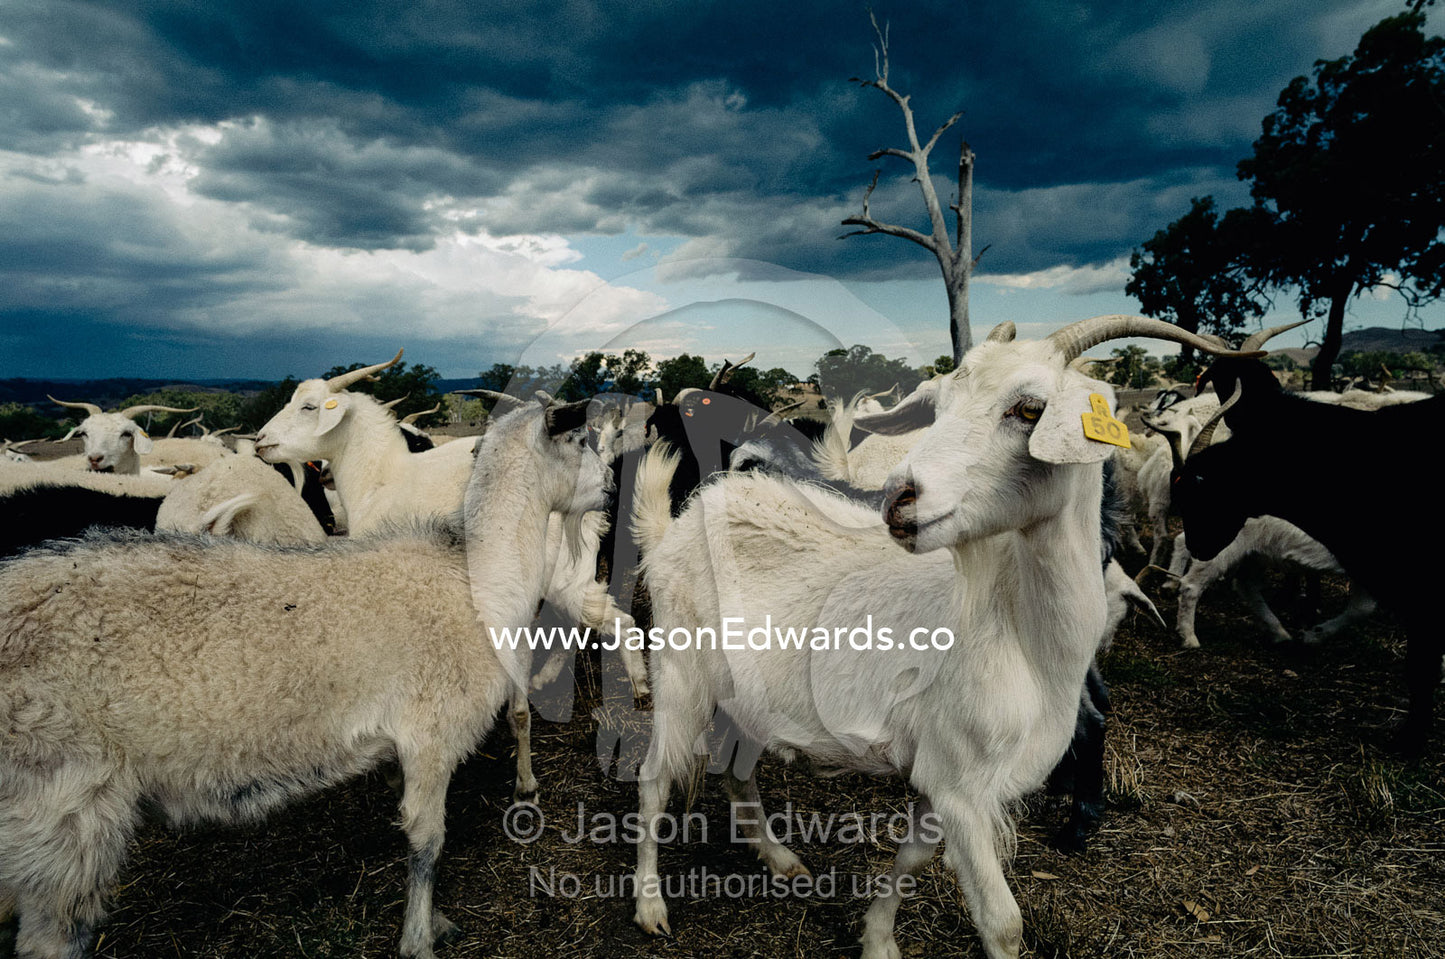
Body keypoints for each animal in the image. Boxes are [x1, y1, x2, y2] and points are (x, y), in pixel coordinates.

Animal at [0, 396, 609, 959]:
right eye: (582, 440)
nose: (607, 490)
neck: (478, 574)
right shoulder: (431, 736)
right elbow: (426, 843)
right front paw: (419, 937)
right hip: (62, 807)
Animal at [629, 315, 1246, 959]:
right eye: (939, 407)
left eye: (1029, 409)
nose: (898, 497)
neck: (1020, 635)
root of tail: (680, 522)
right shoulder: (962, 786)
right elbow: (1002, 922)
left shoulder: (943, 772)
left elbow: (914, 857)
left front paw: (877, 939)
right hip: (680, 672)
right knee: (653, 779)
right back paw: (650, 906)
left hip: (748, 693)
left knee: (737, 767)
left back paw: (779, 859)